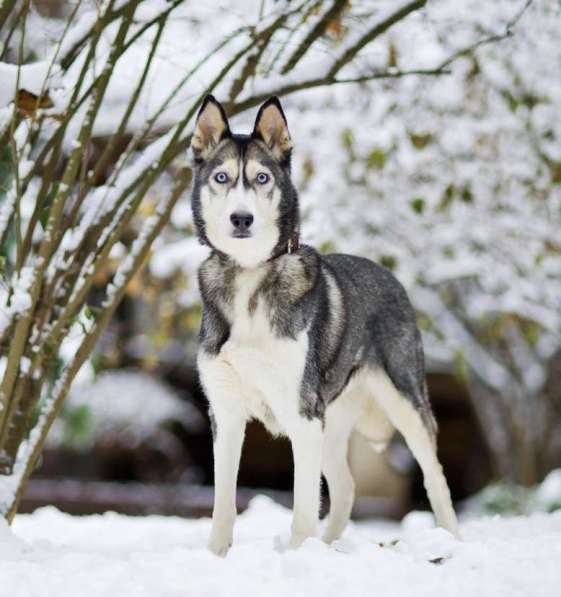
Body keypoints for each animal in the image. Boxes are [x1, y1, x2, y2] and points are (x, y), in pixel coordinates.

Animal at [190, 93, 458, 556]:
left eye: (262, 178)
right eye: (221, 177)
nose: (241, 219)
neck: (250, 275)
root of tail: (388, 274)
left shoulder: (301, 413)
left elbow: (302, 506)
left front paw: (298, 558)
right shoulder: (225, 412)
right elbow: (223, 505)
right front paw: (216, 558)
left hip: (403, 401)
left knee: (435, 479)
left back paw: (452, 540)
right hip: (330, 421)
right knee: (347, 488)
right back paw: (332, 549)